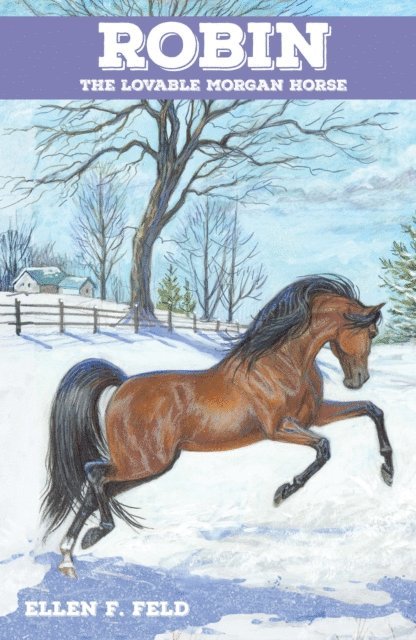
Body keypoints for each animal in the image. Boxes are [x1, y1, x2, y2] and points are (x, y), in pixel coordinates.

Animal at [41, 274, 393, 578]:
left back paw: (69, 556)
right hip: (144, 462)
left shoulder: (315, 415)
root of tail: (123, 383)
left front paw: (388, 472)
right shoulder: (278, 428)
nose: (358, 380)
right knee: (94, 474)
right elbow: (324, 447)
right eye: (371, 334)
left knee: (94, 488)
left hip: (149, 466)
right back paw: (95, 535)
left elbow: (372, 410)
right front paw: (284, 492)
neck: (281, 363)